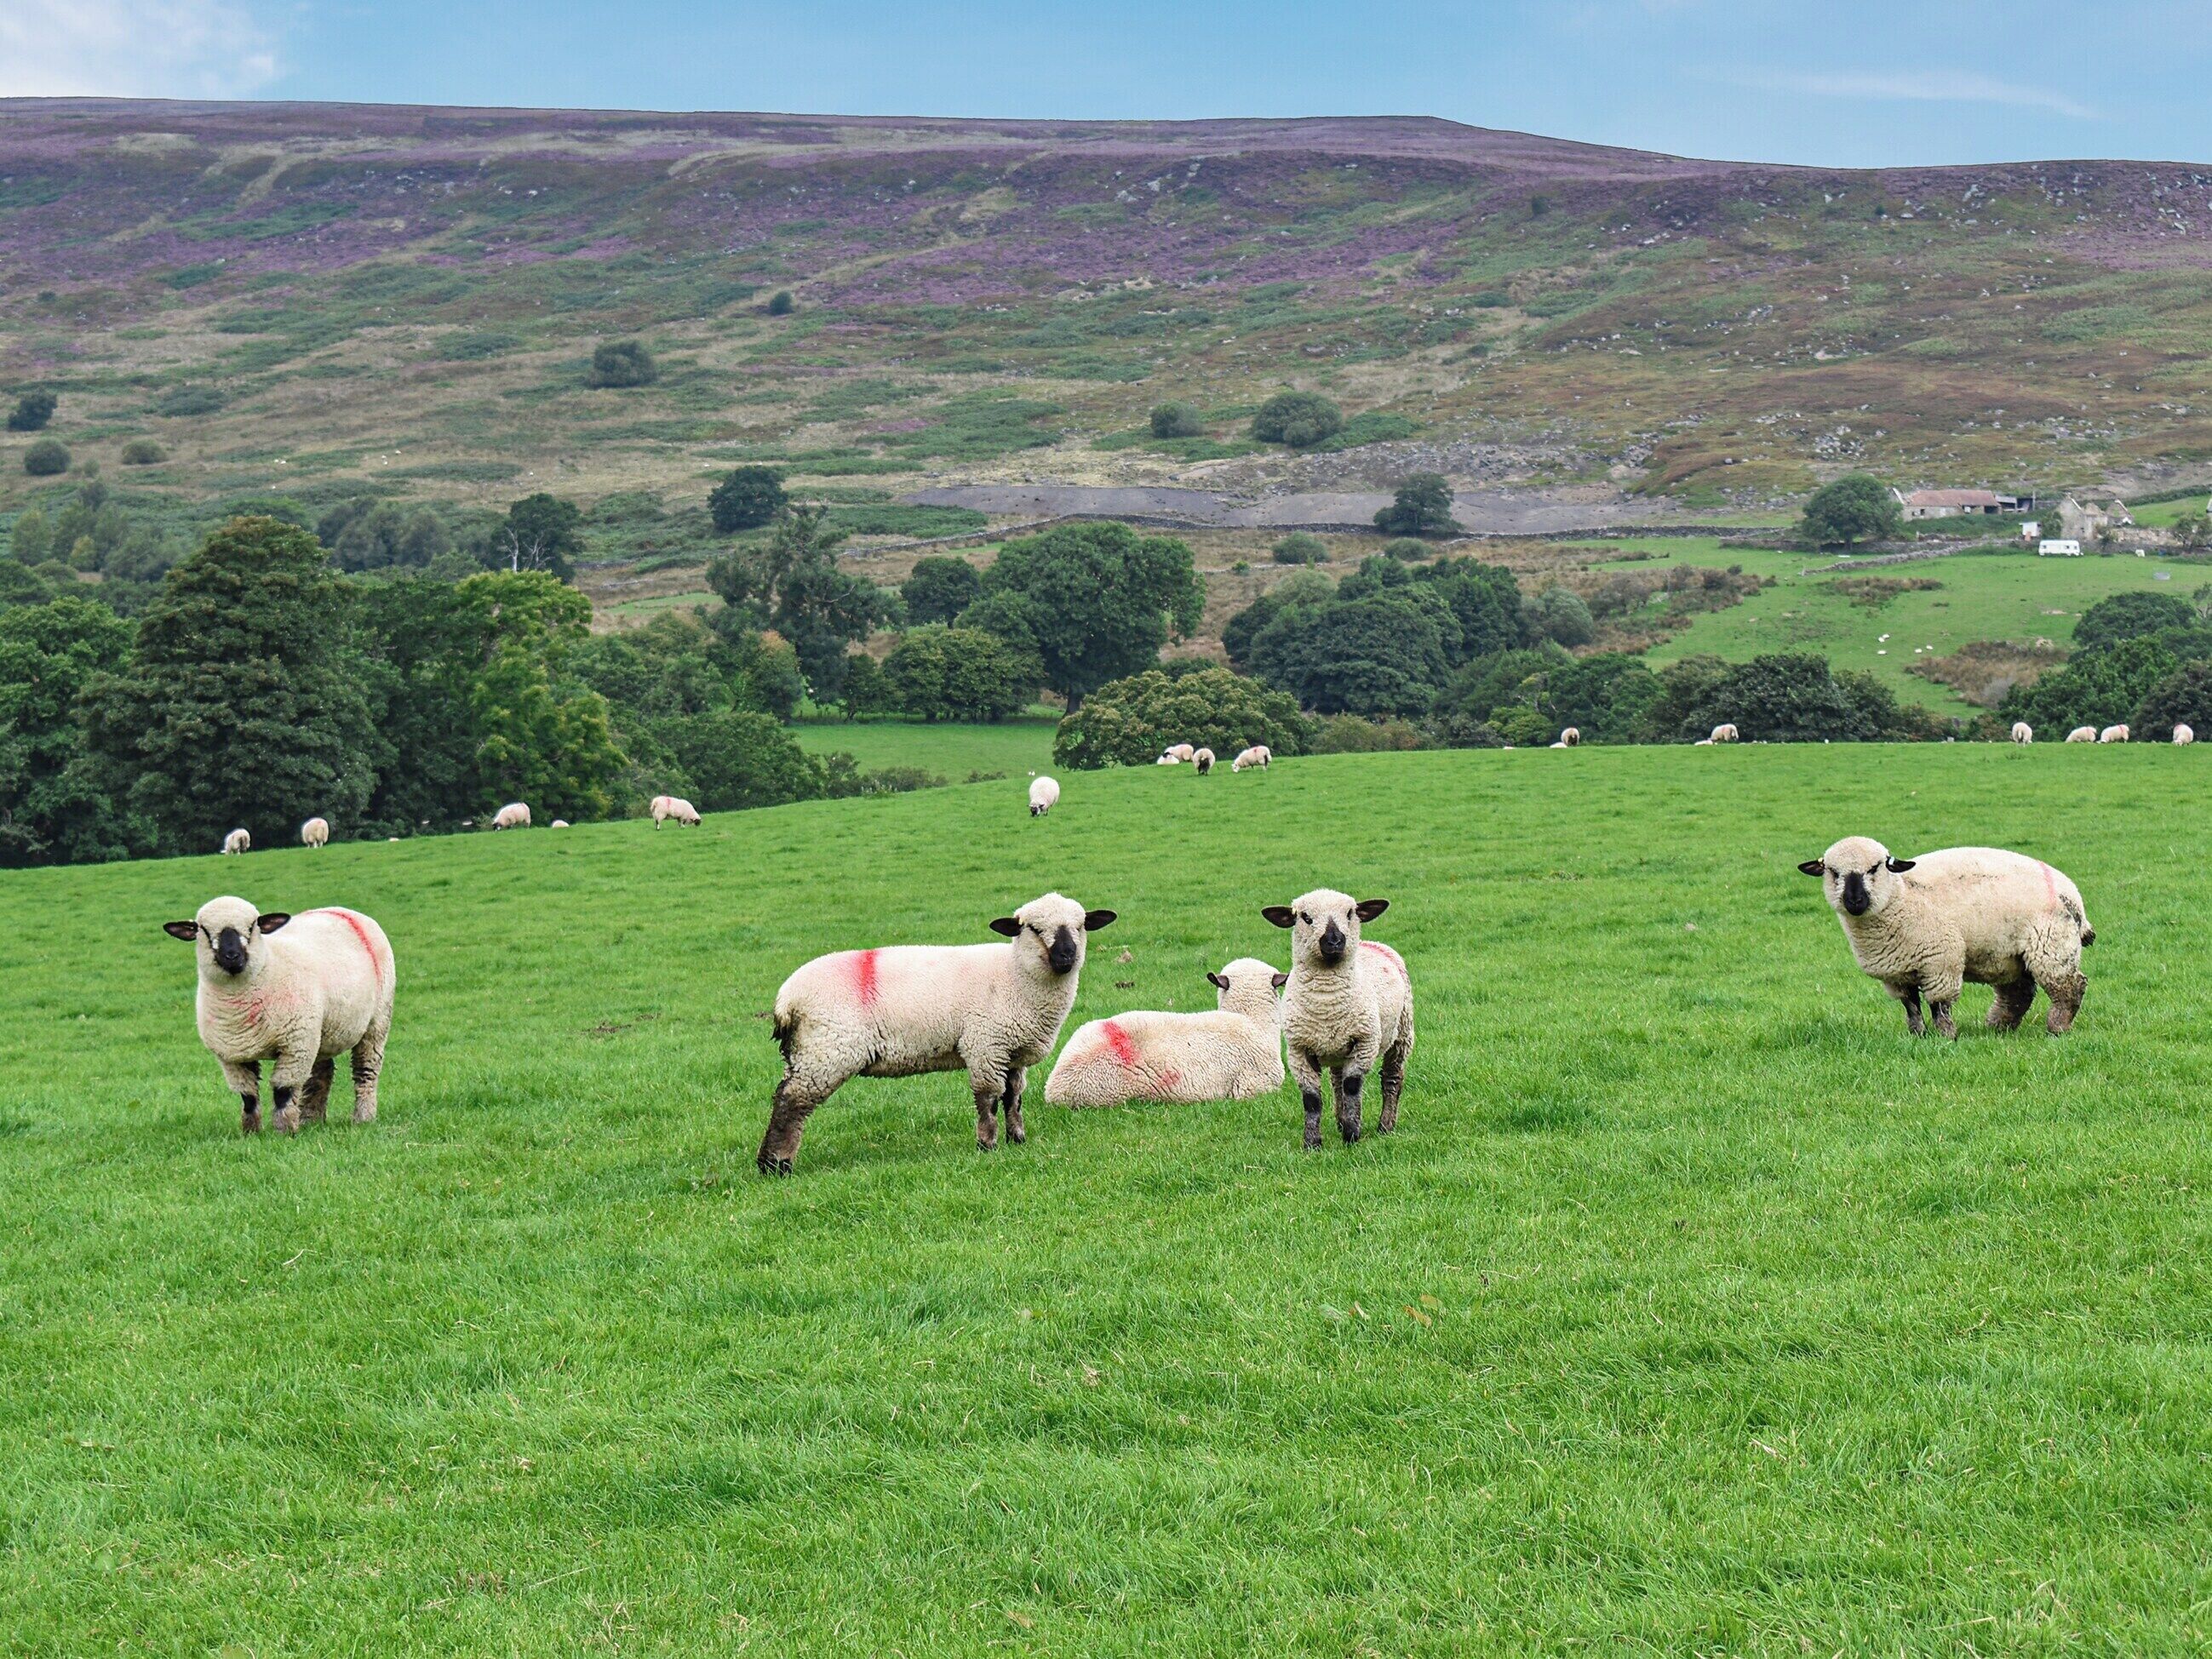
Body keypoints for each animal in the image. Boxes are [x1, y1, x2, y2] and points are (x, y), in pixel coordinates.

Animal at [162, 896, 395, 1133]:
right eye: (204, 930)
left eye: (252, 926)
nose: (232, 956)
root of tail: (341, 910)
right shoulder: (231, 1055)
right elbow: (248, 1095)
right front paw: (251, 1131)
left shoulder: (295, 1045)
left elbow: (283, 1090)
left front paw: (284, 1130)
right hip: (320, 1030)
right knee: (322, 1071)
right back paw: (311, 1118)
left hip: (377, 1020)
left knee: (366, 1070)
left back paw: (363, 1117)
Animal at [760, 892, 1117, 1174]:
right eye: (1033, 928)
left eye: (1081, 925)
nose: (1067, 956)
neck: (1015, 976)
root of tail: (786, 999)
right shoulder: (985, 1046)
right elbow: (988, 1099)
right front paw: (987, 1145)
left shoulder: (1012, 1053)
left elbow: (1013, 1098)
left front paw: (1018, 1139)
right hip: (827, 1051)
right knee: (789, 1103)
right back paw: (775, 1166)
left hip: (810, 1051)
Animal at [1261, 889, 1413, 1149]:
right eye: (1305, 917)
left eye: (1350, 913)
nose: (1334, 941)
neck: (1327, 1003)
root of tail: (1370, 943)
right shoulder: (1298, 1050)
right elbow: (1312, 1099)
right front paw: (1312, 1143)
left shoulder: (1364, 1042)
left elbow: (1352, 1087)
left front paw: (1352, 1136)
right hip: (1338, 1049)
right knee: (1336, 1081)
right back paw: (1341, 1120)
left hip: (1401, 1033)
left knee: (1391, 1079)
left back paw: (1385, 1126)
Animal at [1797, 837, 2092, 1039]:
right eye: (1833, 872)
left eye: (1874, 868)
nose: (1854, 900)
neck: (1901, 897)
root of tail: (2072, 891)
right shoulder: (1897, 974)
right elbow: (1911, 1006)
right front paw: (1917, 1035)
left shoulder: (1941, 961)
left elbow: (1939, 1004)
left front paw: (1946, 1035)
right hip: (2007, 956)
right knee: (2019, 993)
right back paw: (1998, 1026)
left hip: (2052, 946)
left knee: (2070, 987)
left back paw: (2057, 1027)